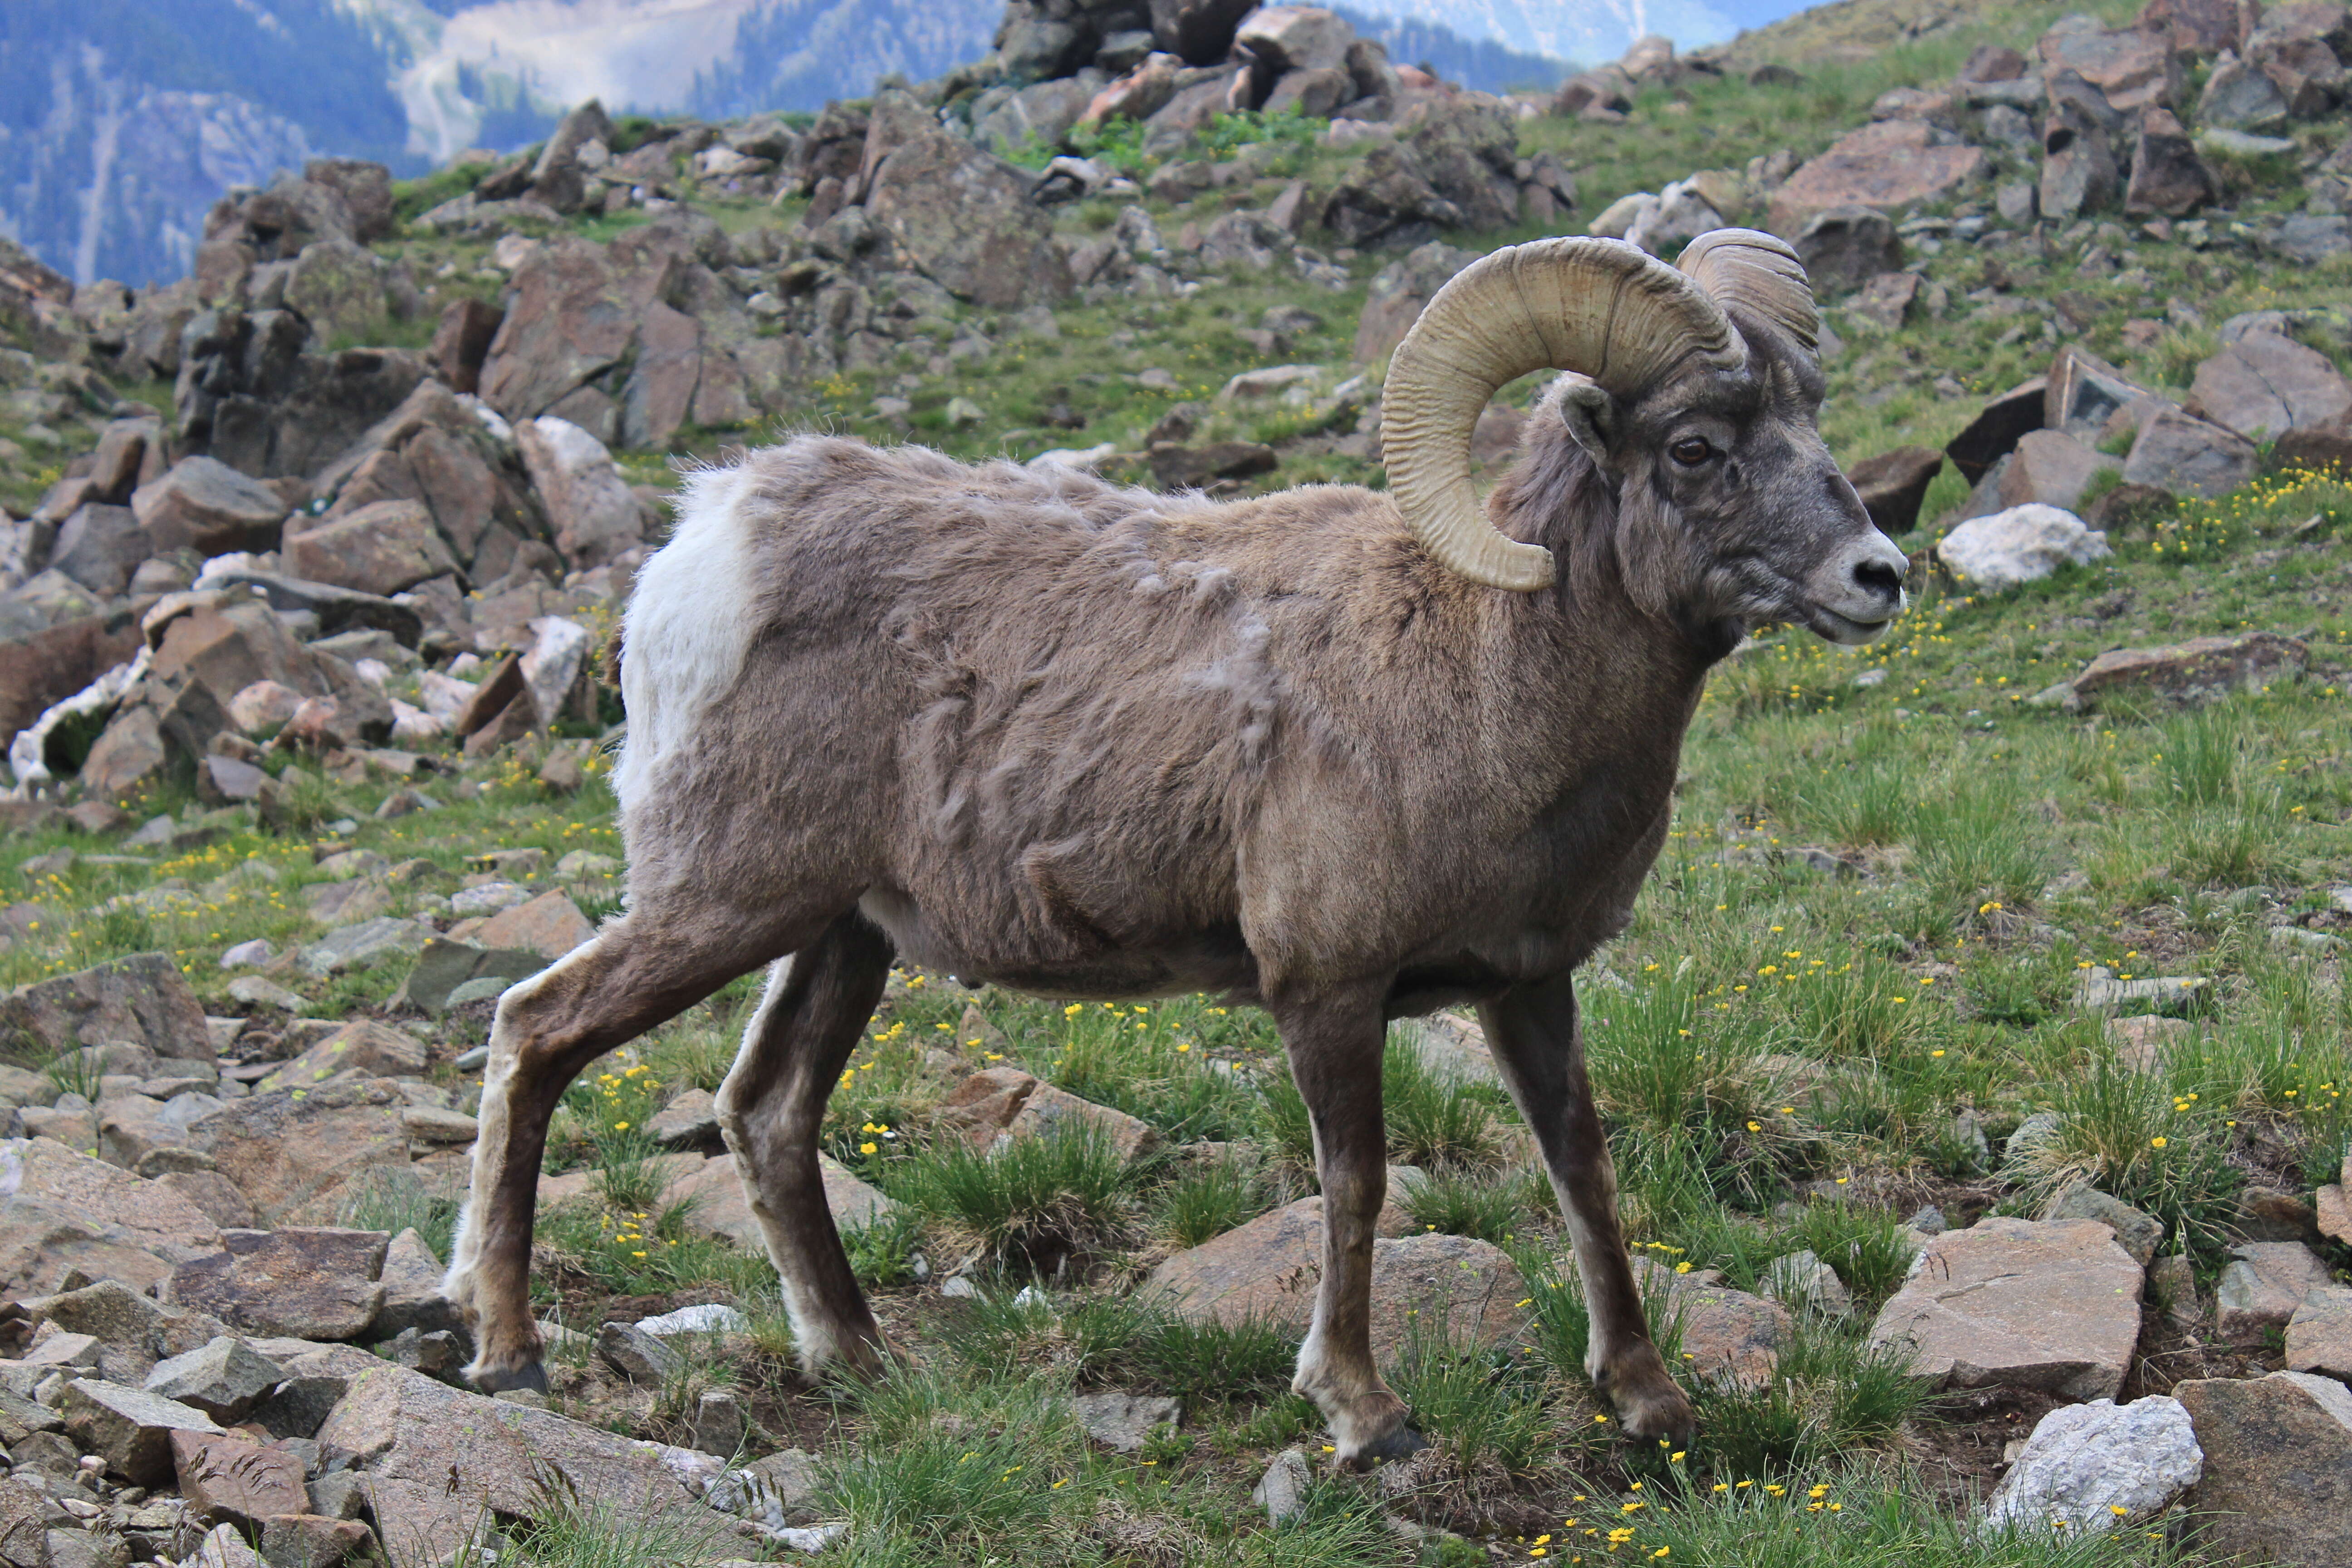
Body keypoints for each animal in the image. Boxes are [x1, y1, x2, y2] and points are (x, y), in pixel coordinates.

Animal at [444, 227, 1910, 1467]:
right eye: (1695, 447)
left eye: (1809, 417)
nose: (1877, 577)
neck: (1483, 671)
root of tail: (705, 549)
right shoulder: (1325, 988)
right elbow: (1356, 1184)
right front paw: (1365, 1415)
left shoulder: (1528, 985)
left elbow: (1583, 1171)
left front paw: (1651, 1400)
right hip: (719, 904)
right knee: (538, 1030)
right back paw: (509, 1353)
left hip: (840, 936)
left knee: (766, 1109)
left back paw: (857, 1360)